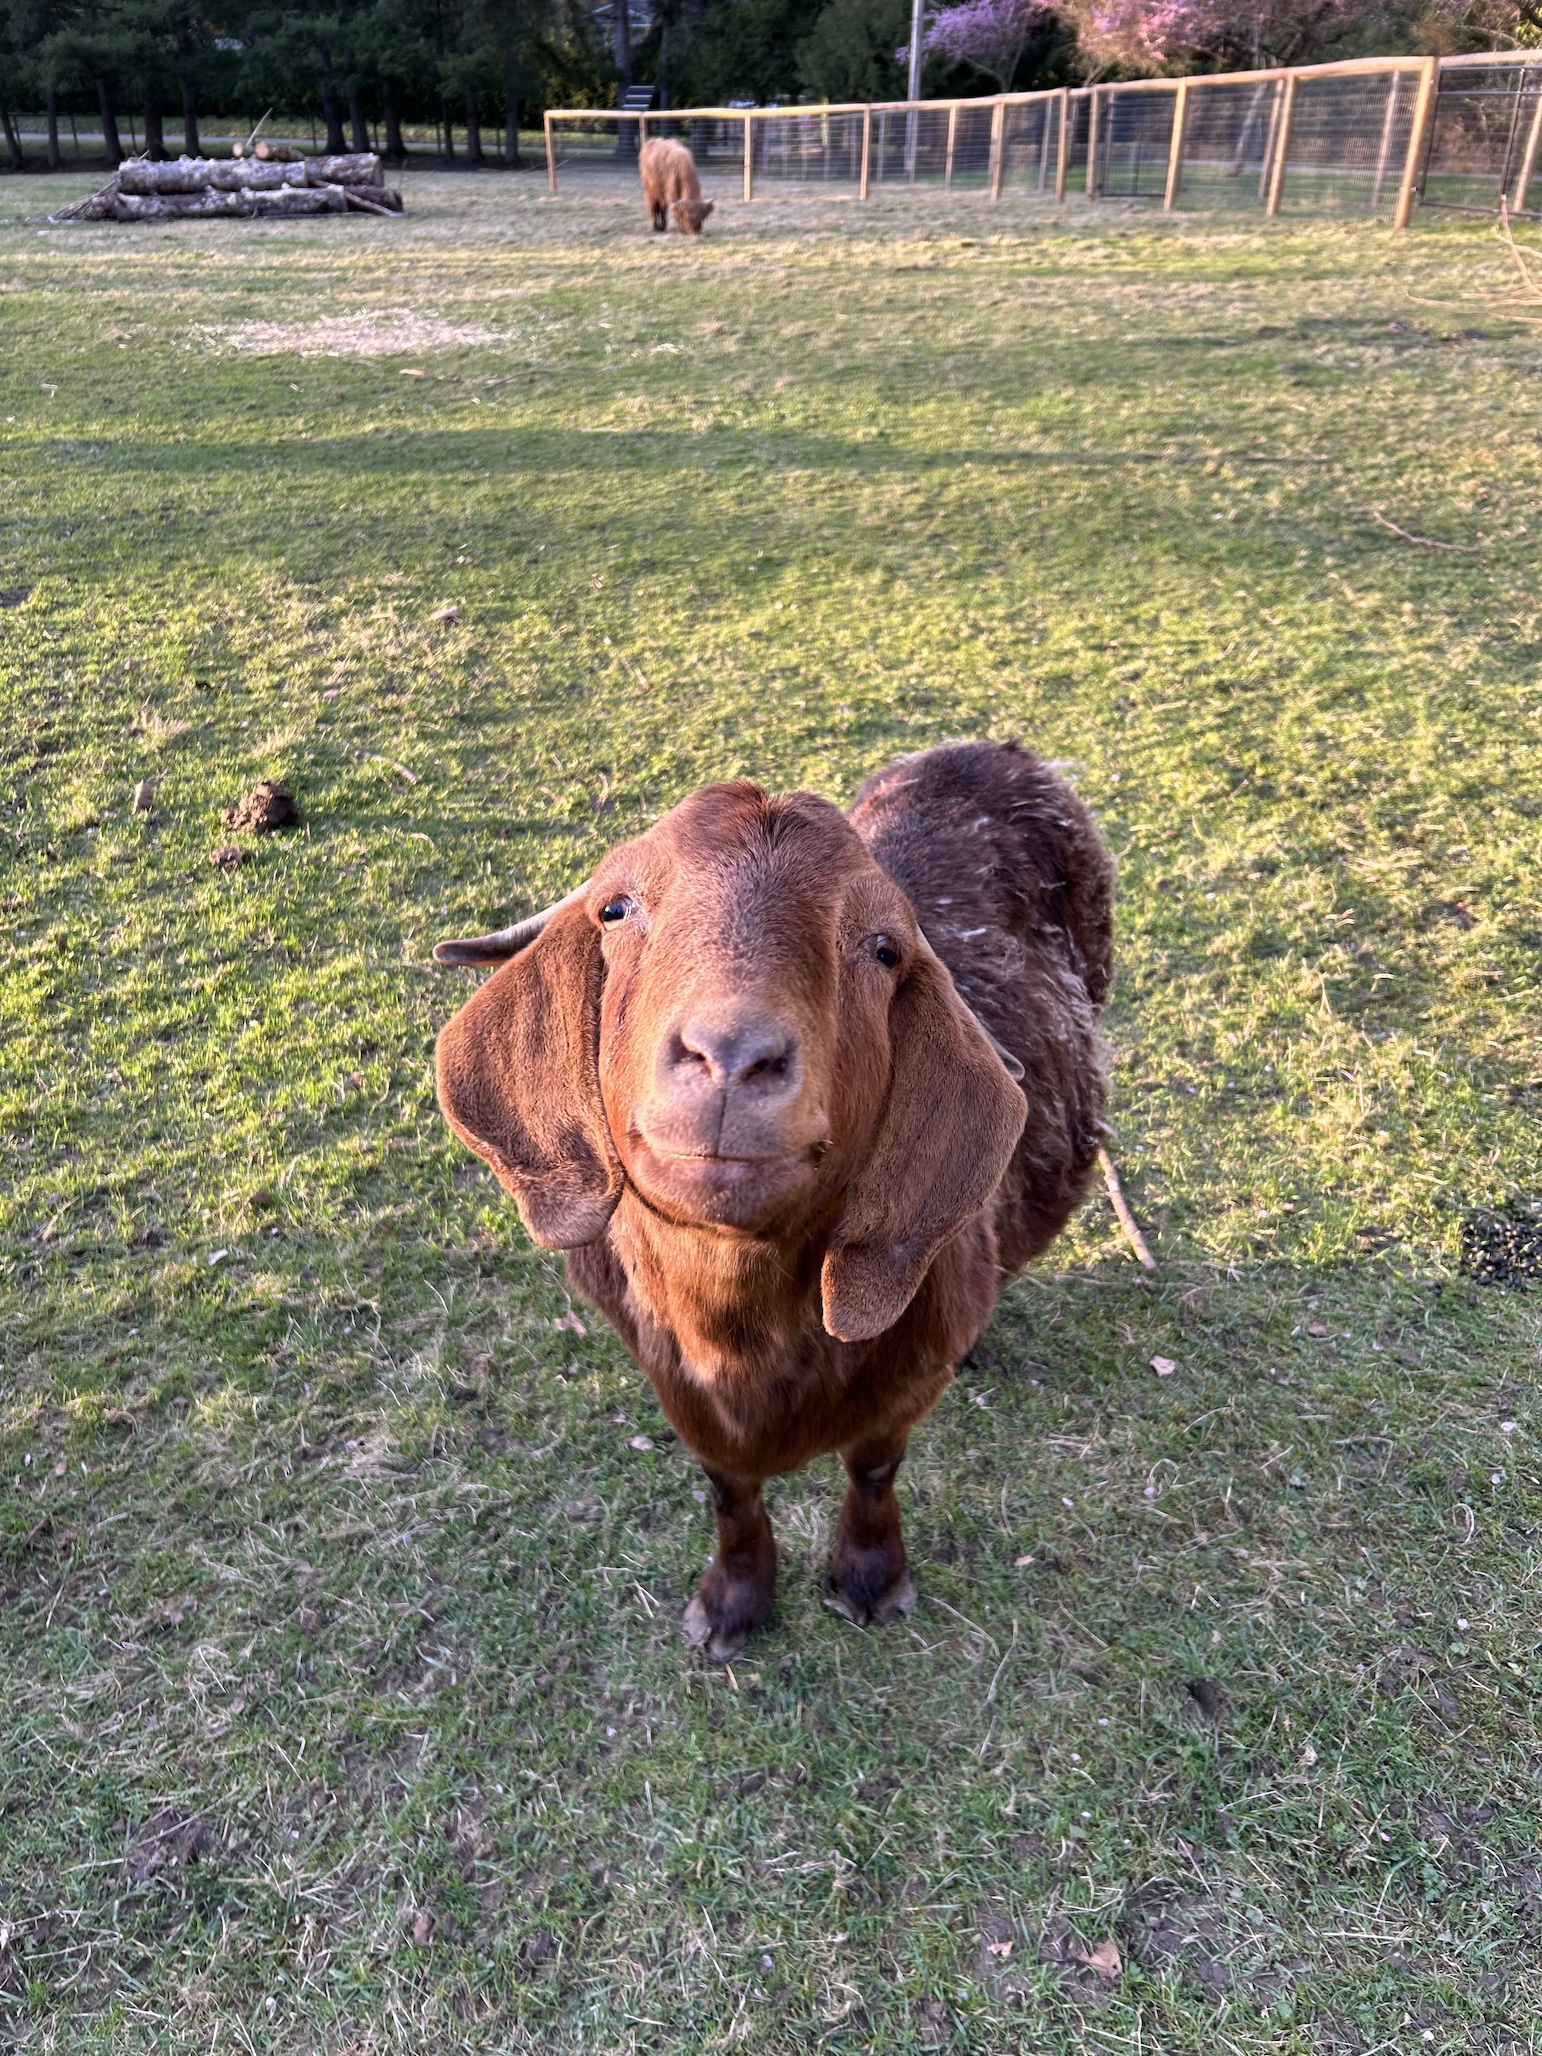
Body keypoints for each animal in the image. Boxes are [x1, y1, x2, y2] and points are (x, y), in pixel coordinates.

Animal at [435, 742, 1112, 1660]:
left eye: (884, 948)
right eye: (615, 908)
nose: (732, 1054)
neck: (744, 1334)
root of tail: (989, 749)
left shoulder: (903, 1386)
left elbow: (874, 1469)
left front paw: (870, 1579)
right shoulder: (674, 1383)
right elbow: (729, 1489)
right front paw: (733, 1601)